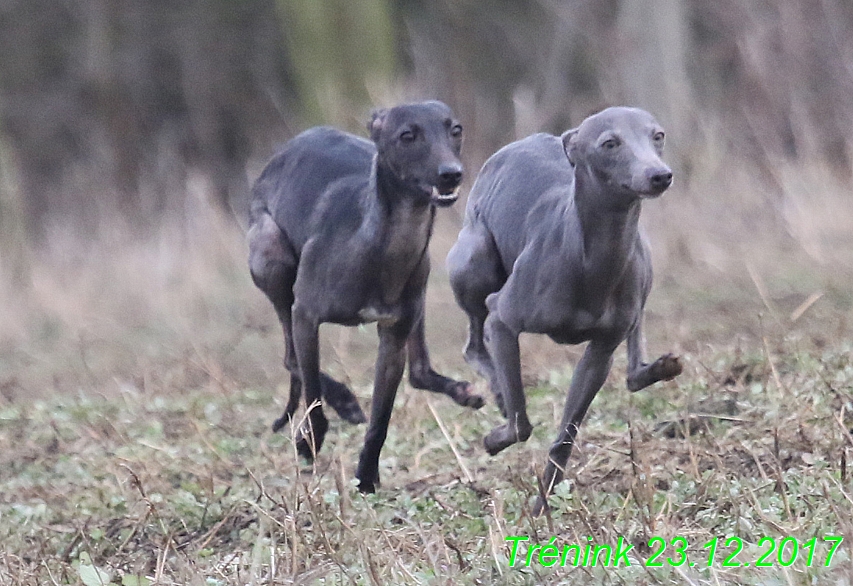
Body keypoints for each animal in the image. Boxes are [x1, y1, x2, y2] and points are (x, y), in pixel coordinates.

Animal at [250, 101, 482, 492]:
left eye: (456, 129)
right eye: (407, 135)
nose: (451, 175)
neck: (380, 244)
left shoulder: (393, 336)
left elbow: (381, 420)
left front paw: (367, 477)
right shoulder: (305, 315)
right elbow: (313, 395)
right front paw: (310, 441)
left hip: (418, 296)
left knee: (419, 371)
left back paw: (460, 391)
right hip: (272, 261)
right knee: (290, 359)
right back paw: (343, 402)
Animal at [450, 106, 684, 512]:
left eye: (658, 135)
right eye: (609, 143)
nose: (659, 175)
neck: (588, 257)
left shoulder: (601, 351)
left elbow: (565, 437)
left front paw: (543, 505)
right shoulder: (503, 320)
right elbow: (520, 423)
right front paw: (495, 438)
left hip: (644, 270)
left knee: (633, 364)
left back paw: (656, 368)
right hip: (473, 262)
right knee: (475, 343)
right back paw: (497, 394)